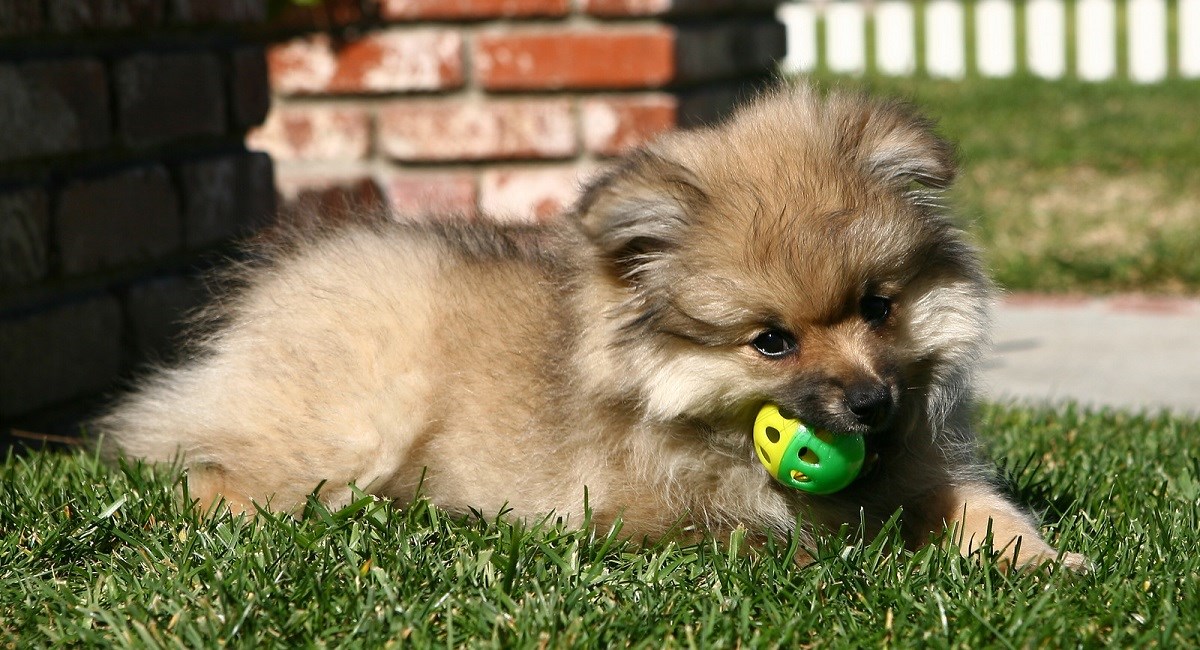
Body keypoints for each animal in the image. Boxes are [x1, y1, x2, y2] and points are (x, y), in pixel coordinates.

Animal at [96, 82, 1089, 570]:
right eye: (771, 340)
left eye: (879, 307)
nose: (873, 404)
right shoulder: (637, 515)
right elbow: (759, 534)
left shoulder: (926, 469)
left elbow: (981, 509)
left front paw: (1040, 561)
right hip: (351, 420)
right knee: (213, 478)